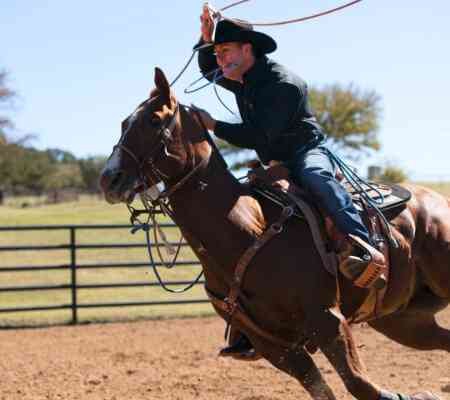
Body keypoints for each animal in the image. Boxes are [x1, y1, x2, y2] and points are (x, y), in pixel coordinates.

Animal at [100, 69, 448, 400]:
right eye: (124, 123)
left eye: (154, 120)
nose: (109, 178)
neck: (245, 230)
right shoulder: (273, 345)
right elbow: (323, 390)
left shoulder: (327, 319)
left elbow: (360, 385)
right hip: (402, 320)